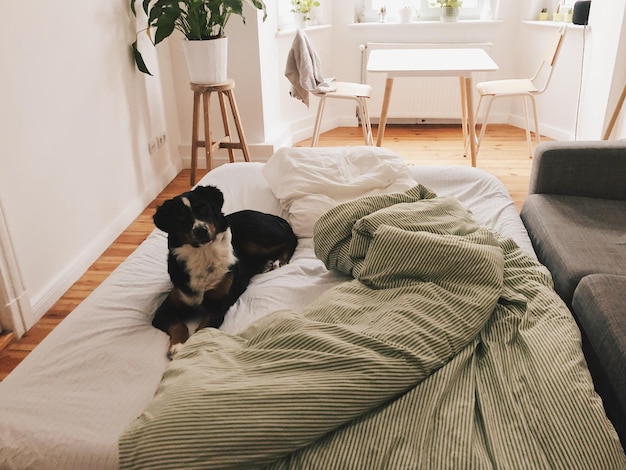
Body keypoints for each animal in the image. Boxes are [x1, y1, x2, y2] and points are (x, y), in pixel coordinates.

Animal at [152, 185, 298, 358]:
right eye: (180, 218)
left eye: (204, 208)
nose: (200, 230)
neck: (203, 254)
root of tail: (269, 215)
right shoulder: (164, 310)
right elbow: (179, 325)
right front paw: (178, 346)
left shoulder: (218, 306)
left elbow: (201, 331)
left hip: (256, 238)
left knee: (290, 239)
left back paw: (279, 260)